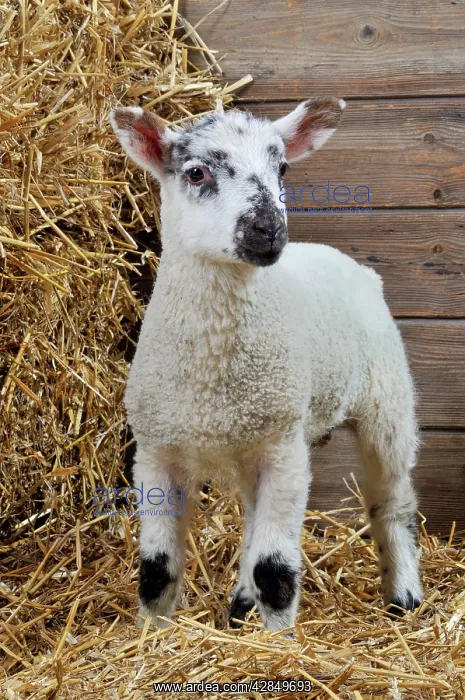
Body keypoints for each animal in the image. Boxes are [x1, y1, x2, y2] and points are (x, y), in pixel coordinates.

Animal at [110, 98, 423, 632]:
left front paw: (278, 642)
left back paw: (404, 597)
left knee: (392, 498)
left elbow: (275, 570)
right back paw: (240, 605)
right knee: (256, 515)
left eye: (283, 169)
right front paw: (150, 638)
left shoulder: (283, 446)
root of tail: (358, 268)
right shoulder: (155, 451)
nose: (269, 229)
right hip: (253, 436)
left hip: (386, 399)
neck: (210, 371)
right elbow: (155, 569)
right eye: (196, 173)